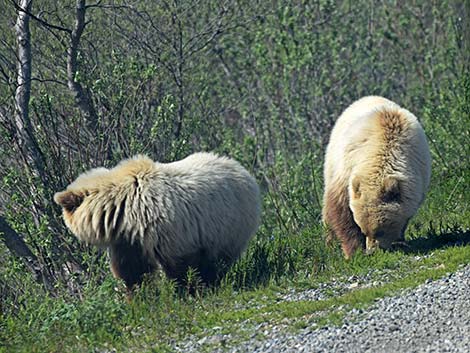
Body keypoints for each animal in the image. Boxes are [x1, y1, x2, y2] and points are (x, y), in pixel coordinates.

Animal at [55, 153, 262, 290]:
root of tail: (243, 170)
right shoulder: (127, 239)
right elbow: (132, 269)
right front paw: (137, 296)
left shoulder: (162, 225)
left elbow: (178, 262)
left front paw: (183, 289)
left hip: (229, 222)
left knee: (218, 257)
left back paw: (211, 280)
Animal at [324, 95, 430, 258]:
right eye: (363, 229)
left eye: (380, 230)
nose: (372, 251)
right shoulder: (346, 171)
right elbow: (341, 210)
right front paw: (353, 251)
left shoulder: (418, 175)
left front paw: (399, 241)